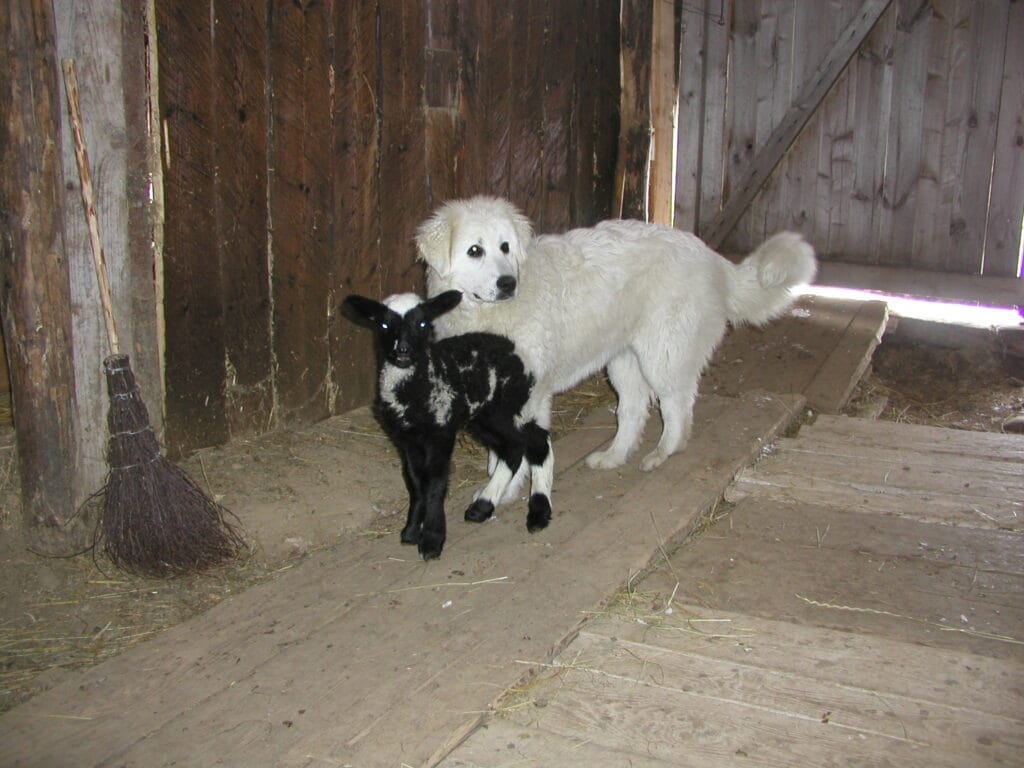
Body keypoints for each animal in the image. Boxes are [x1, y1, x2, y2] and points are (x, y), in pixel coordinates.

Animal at [341, 289, 553, 559]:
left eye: (423, 324)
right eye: (383, 324)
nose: (403, 350)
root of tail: (511, 345)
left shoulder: (440, 432)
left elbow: (436, 482)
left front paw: (432, 540)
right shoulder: (406, 440)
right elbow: (416, 482)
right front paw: (411, 531)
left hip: (512, 405)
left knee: (533, 442)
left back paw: (536, 512)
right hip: (488, 415)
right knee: (518, 446)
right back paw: (486, 507)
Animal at [415, 196, 816, 496]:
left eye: (505, 247)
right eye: (474, 250)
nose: (508, 283)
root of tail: (711, 257)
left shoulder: (527, 397)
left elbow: (513, 457)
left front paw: (497, 494)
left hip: (662, 357)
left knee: (677, 410)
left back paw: (661, 454)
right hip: (623, 363)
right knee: (634, 412)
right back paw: (613, 456)